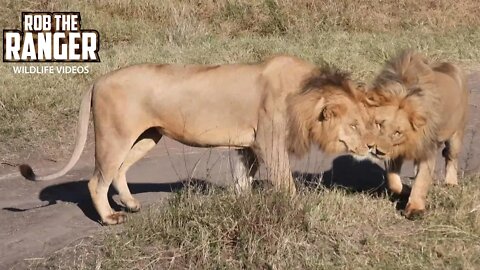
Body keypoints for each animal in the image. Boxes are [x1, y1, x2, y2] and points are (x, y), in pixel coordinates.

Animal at [19, 54, 372, 224]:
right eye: (354, 125)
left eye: (364, 122)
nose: (371, 146)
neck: (306, 95)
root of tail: (98, 80)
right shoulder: (268, 143)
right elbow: (285, 182)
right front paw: (297, 210)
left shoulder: (248, 145)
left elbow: (243, 180)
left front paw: (240, 206)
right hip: (114, 135)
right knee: (96, 181)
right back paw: (109, 218)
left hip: (147, 137)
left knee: (118, 171)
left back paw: (131, 204)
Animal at [366, 50, 466, 218]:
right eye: (379, 124)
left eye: (397, 132)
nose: (377, 151)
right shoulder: (395, 150)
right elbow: (393, 180)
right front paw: (405, 190)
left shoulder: (427, 149)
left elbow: (422, 180)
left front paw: (415, 209)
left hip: (456, 135)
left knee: (451, 158)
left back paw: (451, 183)